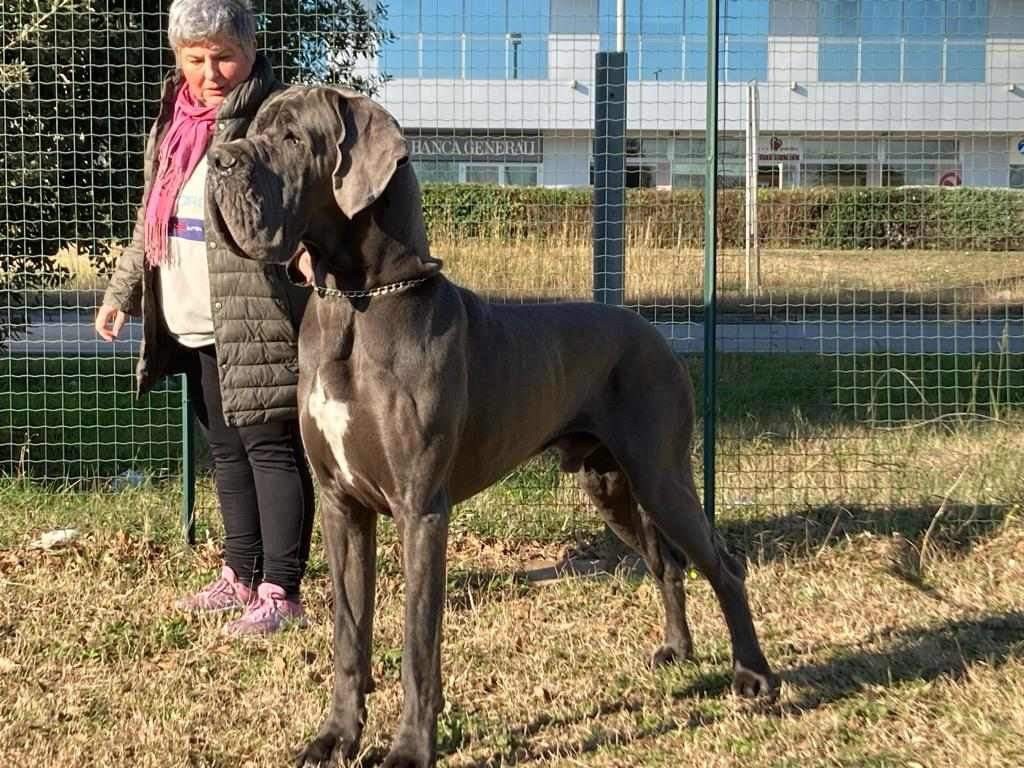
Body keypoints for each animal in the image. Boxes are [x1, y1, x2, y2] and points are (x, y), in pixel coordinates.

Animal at [207, 87, 778, 765]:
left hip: (660, 475)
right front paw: (335, 737)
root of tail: (656, 333)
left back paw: (754, 675)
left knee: (723, 563)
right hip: (608, 483)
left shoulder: (421, 509)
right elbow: (349, 634)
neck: (356, 303)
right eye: (256, 126)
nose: (218, 161)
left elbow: (419, 644)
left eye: (293, 138)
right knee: (666, 562)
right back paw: (679, 651)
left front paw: (410, 750)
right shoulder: (342, 504)